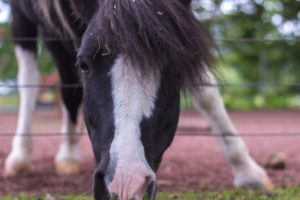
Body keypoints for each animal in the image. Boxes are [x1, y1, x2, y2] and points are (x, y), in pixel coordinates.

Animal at [4, 0, 274, 199]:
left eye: (177, 69)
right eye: (84, 65)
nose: (126, 184)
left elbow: (205, 89)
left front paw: (247, 171)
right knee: (33, 79)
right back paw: (28, 156)